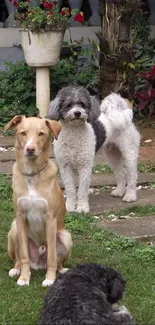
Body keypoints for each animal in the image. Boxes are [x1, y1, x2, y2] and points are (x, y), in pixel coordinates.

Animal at [4, 116, 72, 286]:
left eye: (41, 134)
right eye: (23, 133)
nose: (30, 149)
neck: (32, 174)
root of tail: (37, 264)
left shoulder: (50, 219)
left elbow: (52, 257)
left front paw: (50, 279)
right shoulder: (20, 217)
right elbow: (23, 256)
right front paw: (24, 278)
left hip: (66, 236)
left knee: (57, 262)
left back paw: (61, 271)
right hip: (14, 228)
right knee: (18, 258)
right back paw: (16, 270)